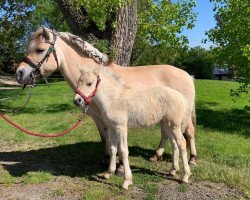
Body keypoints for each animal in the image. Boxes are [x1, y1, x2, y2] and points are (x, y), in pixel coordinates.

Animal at [15, 27, 197, 164]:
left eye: (40, 50)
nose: (19, 73)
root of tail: (188, 75)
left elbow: (115, 142)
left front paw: (118, 165)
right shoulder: (97, 118)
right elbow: (105, 139)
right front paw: (108, 160)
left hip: (182, 116)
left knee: (189, 131)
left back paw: (192, 158)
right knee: (166, 133)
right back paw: (156, 155)